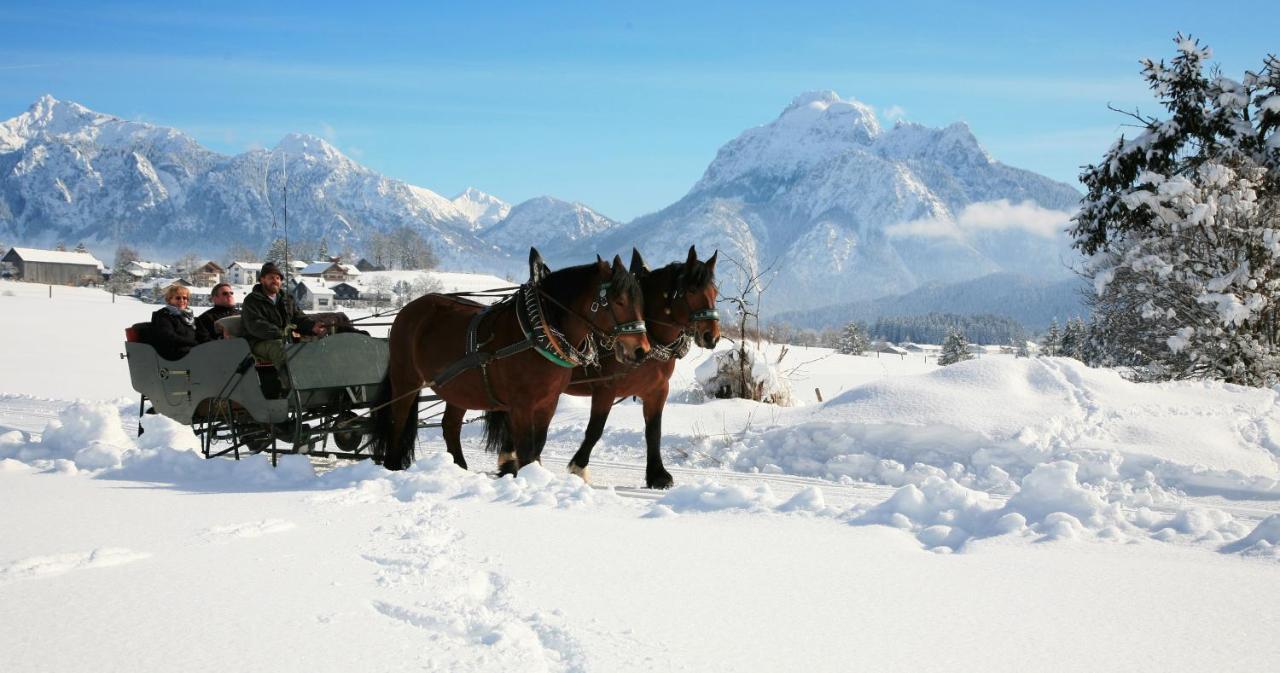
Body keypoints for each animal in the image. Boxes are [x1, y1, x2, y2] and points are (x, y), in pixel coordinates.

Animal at [371, 250, 650, 478]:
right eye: (618, 301)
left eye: (640, 301)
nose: (641, 350)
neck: (539, 331)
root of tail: (410, 309)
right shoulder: (520, 404)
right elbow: (525, 448)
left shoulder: (548, 403)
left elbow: (537, 445)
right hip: (405, 378)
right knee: (398, 419)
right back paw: (393, 465)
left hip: (457, 388)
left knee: (450, 425)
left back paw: (459, 469)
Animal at [563, 245, 716, 488]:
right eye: (692, 291)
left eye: (715, 292)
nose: (712, 335)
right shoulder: (605, 389)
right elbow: (595, 429)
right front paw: (579, 468)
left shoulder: (657, 390)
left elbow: (654, 431)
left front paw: (657, 474)